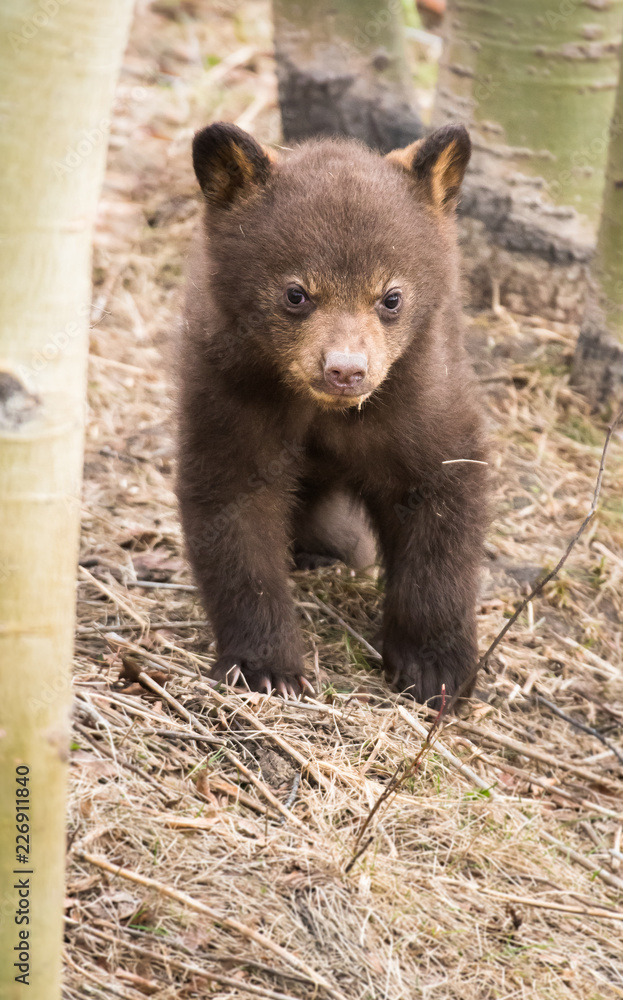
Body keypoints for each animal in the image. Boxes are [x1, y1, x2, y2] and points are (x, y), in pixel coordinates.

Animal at [176, 120, 488, 705]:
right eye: (296, 293)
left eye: (391, 297)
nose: (345, 370)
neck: (326, 412)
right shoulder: (230, 389)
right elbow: (233, 508)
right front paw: (266, 666)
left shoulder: (421, 394)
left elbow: (443, 497)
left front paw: (435, 668)